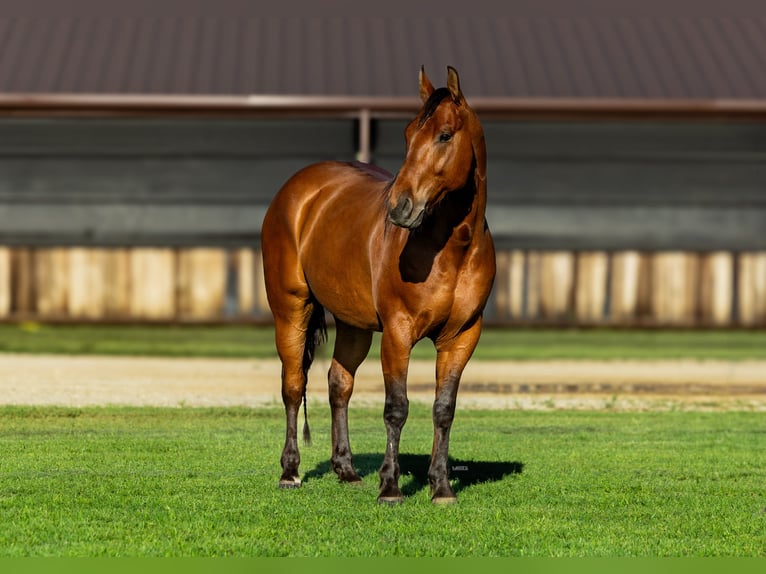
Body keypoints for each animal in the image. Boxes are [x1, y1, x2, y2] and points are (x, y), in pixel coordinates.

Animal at [261, 66, 496, 504]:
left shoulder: (462, 337)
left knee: (339, 383)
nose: (399, 208)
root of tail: (299, 189)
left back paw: (347, 470)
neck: (452, 249)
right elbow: (396, 407)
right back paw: (290, 471)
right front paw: (390, 487)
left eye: (445, 135)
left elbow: (444, 408)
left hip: (353, 324)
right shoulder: (398, 333)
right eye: (407, 134)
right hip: (291, 309)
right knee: (293, 384)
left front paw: (441, 488)